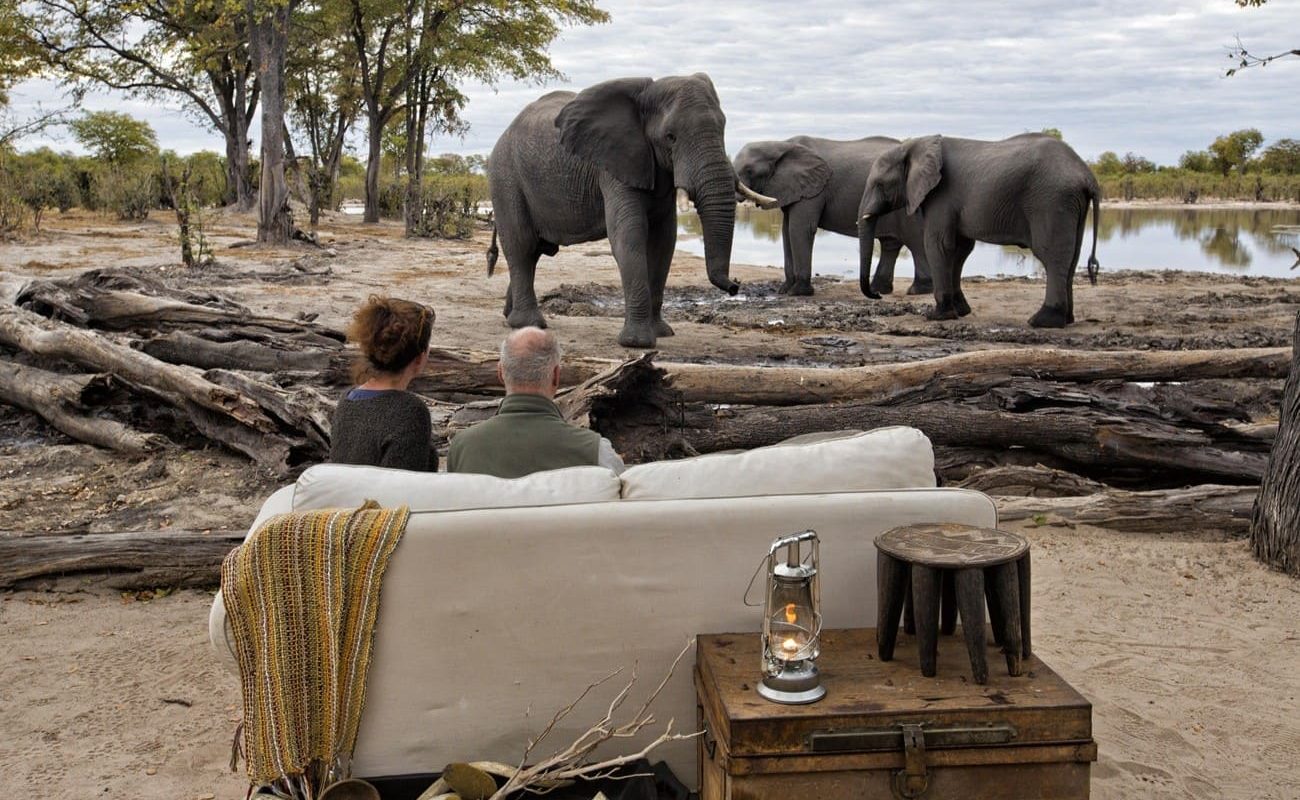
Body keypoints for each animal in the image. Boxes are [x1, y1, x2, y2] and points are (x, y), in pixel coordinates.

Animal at [486, 73, 775, 348]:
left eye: (723, 128)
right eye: (670, 137)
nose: (735, 284)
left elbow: (663, 242)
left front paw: (662, 332)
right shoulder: (614, 164)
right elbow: (629, 235)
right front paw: (637, 343)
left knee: (534, 252)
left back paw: (510, 317)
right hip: (505, 178)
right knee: (522, 245)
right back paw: (528, 324)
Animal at [732, 136, 931, 297]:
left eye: (749, 170)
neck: (781, 144)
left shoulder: (814, 190)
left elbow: (800, 229)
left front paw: (799, 293)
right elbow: (786, 231)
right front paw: (784, 290)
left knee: (914, 240)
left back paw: (918, 290)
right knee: (891, 244)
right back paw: (879, 290)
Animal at [858, 133, 1101, 328]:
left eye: (879, 184)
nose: (877, 295)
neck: (915, 145)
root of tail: (1087, 176)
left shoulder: (941, 196)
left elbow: (939, 244)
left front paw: (936, 316)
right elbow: (959, 249)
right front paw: (961, 312)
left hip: (1052, 201)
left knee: (1051, 255)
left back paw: (1042, 322)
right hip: (1071, 205)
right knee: (1071, 257)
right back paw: (1067, 320)